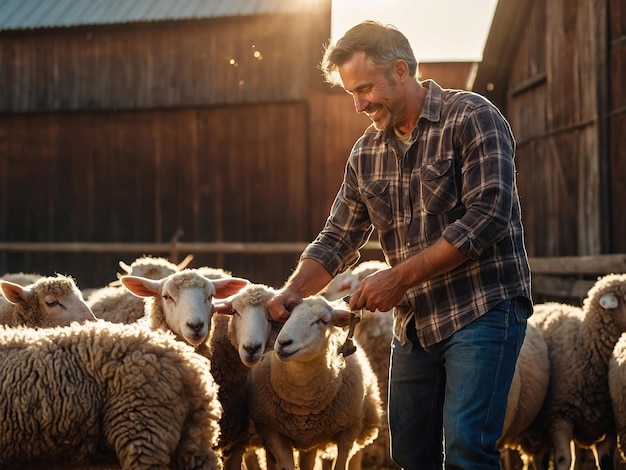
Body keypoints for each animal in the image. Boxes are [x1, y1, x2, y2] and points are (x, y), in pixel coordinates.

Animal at [245, 296, 380, 468]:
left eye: (323, 321)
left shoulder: (349, 431)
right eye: (287, 316)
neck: (304, 400)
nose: (283, 343)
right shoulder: (271, 430)